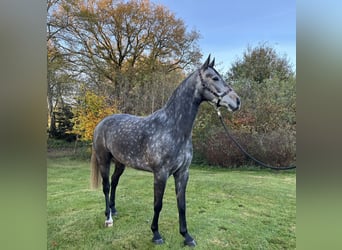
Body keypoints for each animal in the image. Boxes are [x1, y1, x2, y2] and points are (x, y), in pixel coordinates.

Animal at [91, 55, 240, 246]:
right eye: (214, 78)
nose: (237, 101)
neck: (173, 127)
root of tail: (101, 123)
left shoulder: (182, 173)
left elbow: (182, 205)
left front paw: (186, 236)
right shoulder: (160, 174)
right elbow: (158, 204)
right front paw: (156, 234)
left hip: (120, 163)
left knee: (115, 182)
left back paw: (114, 210)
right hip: (104, 160)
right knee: (106, 186)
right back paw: (108, 218)